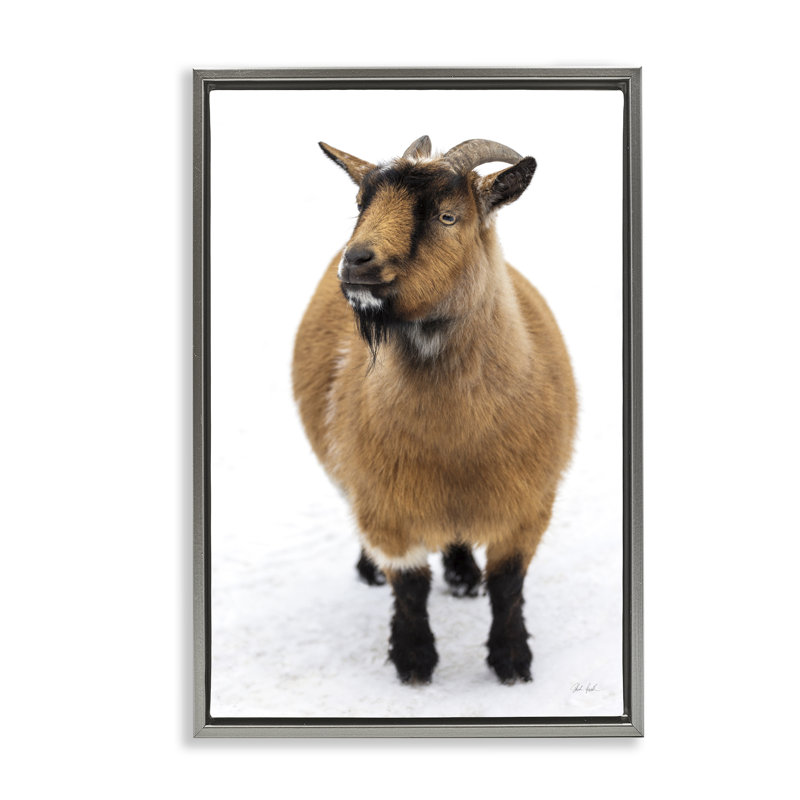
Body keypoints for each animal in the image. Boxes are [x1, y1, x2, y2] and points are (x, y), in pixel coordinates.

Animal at [292, 135, 577, 684]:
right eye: (360, 203)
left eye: (448, 216)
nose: (356, 261)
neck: (455, 444)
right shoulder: (386, 505)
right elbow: (410, 586)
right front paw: (414, 662)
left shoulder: (529, 504)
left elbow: (508, 585)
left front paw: (512, 663)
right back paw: (371, 572)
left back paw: (464, 574)